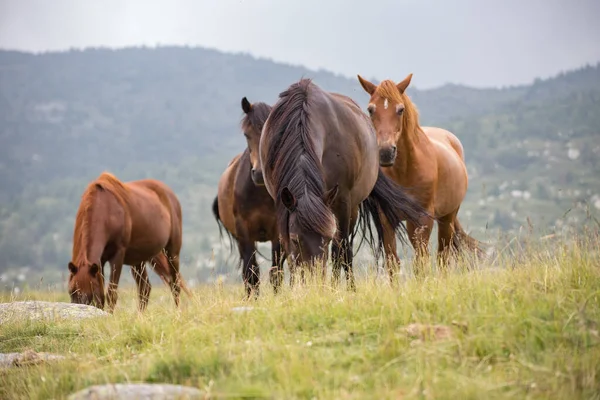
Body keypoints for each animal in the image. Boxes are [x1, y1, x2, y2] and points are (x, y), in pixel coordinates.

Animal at [67, 172, 191, 312]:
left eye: (90, 291)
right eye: (71, 291)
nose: (79, 307)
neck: (106, 208)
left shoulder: (118, 255)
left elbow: (111, 293)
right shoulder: (100, 262)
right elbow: (101, 295)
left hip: (172, 251)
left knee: (175, 284)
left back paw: (177, 312)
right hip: (139, 259)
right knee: (145, 288)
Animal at [211, 96, 286, 296]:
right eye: (246, 134)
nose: (259, 174)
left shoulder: (278, 232)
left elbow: (276, 272)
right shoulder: (244, 233)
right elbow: (251, 274)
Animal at [255, 77, 428, 288]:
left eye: (327, 238)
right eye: (296, 239)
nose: (314, 283)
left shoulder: (341, 202)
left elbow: (340, 252)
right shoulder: (281, 201)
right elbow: (287, 252)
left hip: (350, 209)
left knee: (345, 251)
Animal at [358, 72, 486, 276]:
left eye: (400, 109)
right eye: (371, 110)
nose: (385, 152)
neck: (406, 172)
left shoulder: (422, 220)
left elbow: (421, 264)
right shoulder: (387, 220)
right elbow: (393, 263)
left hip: (447, 218)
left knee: (443, 257)